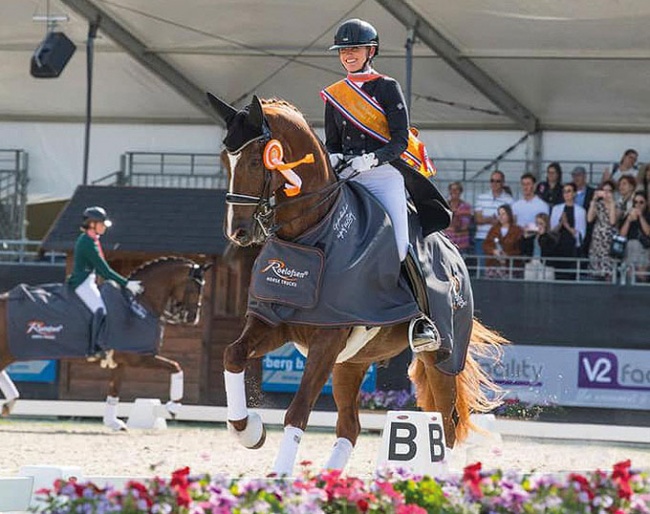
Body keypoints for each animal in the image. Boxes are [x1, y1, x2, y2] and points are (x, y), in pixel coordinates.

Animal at [0, 256, 210, 428]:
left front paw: (113, 422)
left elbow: (114, 389)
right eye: (195, 287)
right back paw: (9, 401)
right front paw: (173, 407)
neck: (138, 303)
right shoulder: (140, 358)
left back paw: (9, 402)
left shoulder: (121, 361)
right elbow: (176, 366)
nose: (193, 318)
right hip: (9, 350)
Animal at [208, 93, 506, 476]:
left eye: (256, 161)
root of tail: (455, 256)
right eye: (224, 161)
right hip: (351, 362)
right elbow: (232, 354)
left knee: (447, 422)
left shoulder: (327, 339)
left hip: (441, 356)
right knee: (350, 425)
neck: (311, 234)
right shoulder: (274, 322)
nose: (239, 232)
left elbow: (298, 410)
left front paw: (279, 475)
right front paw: (249, 430)